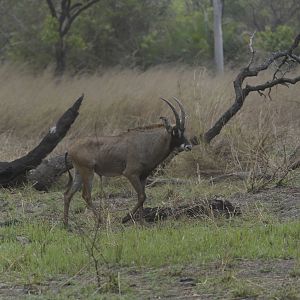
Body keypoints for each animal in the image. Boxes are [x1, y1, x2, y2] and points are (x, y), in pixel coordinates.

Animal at [63, 97, 192, 226]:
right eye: (175, 131)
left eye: (184, 130)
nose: (189, 146)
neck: (146, 143)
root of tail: (71, 148)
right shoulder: (130, 173)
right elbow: (142, 196)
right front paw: (124, 218)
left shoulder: (143, 176)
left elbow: (142, 197)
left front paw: (142, 223)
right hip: (88, 172)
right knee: (86, 195)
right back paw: (100, 221)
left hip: (79, 172)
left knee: (68, 194)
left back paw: (66, 224)